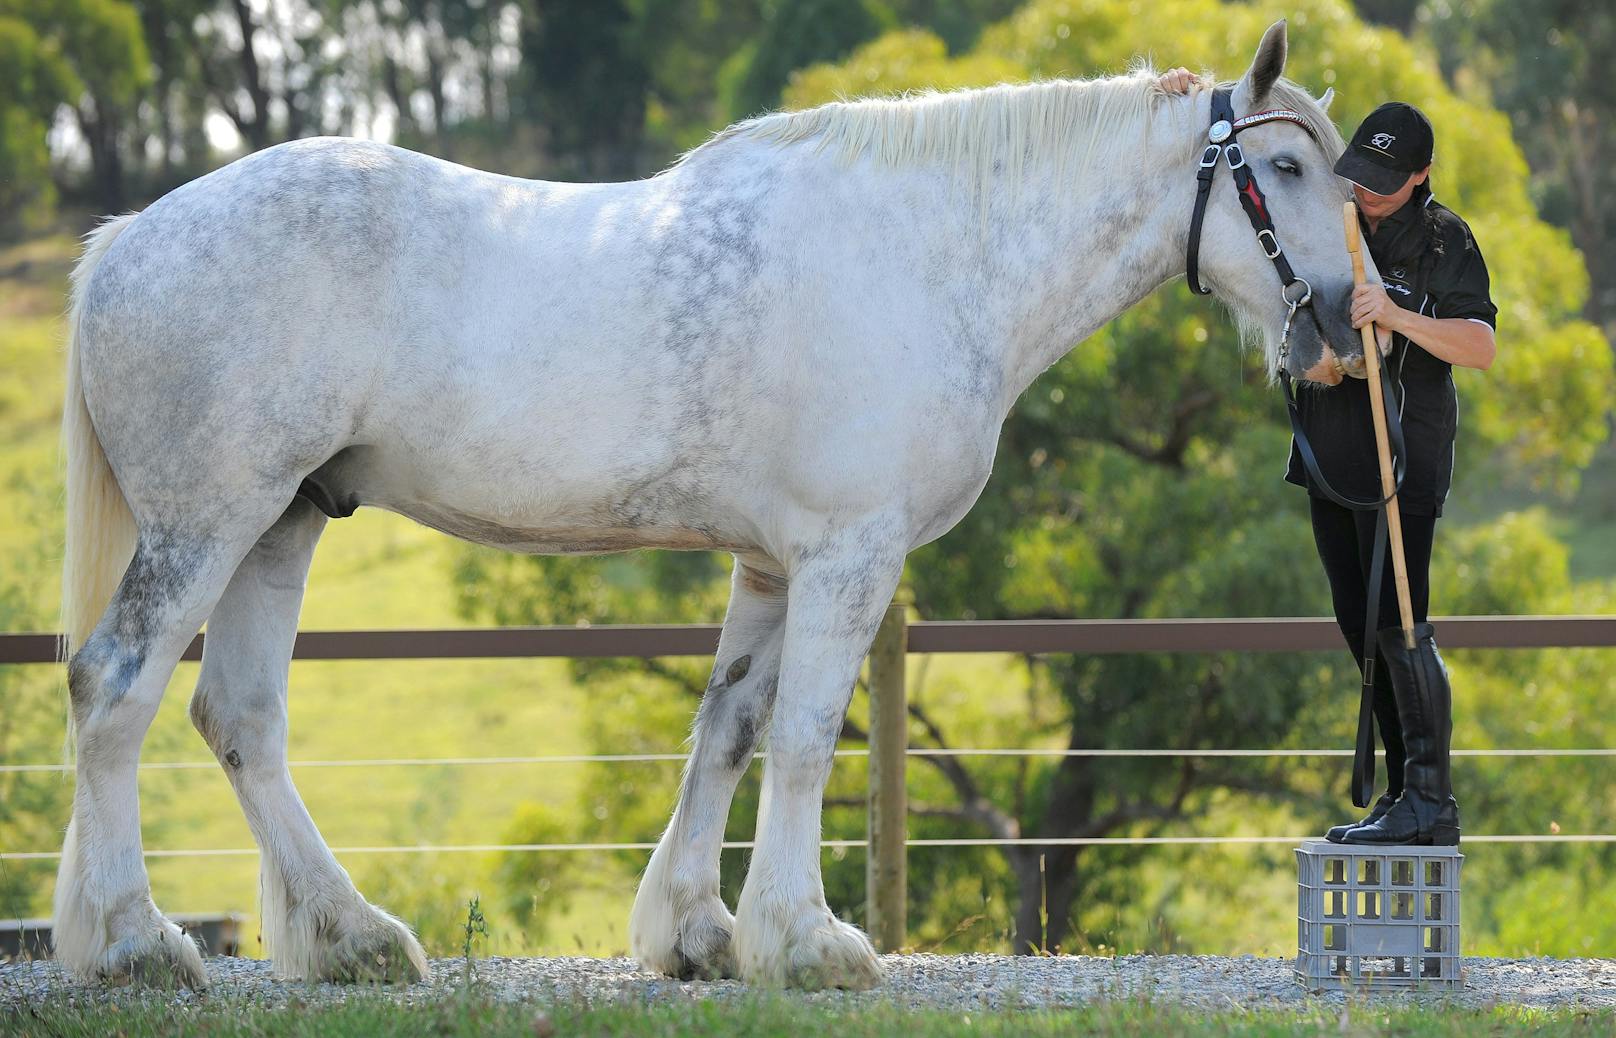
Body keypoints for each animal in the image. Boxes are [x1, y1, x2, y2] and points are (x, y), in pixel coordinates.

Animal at [53, 18, 1363, 983]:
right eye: (1285, 168)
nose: (1346, 327)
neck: (930, 255)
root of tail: (124, 244)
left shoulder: (773, 564)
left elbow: (728, 731)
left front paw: (700, 932)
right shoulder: (847, 554)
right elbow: (804, 738)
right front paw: (811, 941)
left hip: (280, 522)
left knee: (240, 720)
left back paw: (353, 940)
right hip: (209, 521)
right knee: (114, 688)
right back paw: (138, 945)